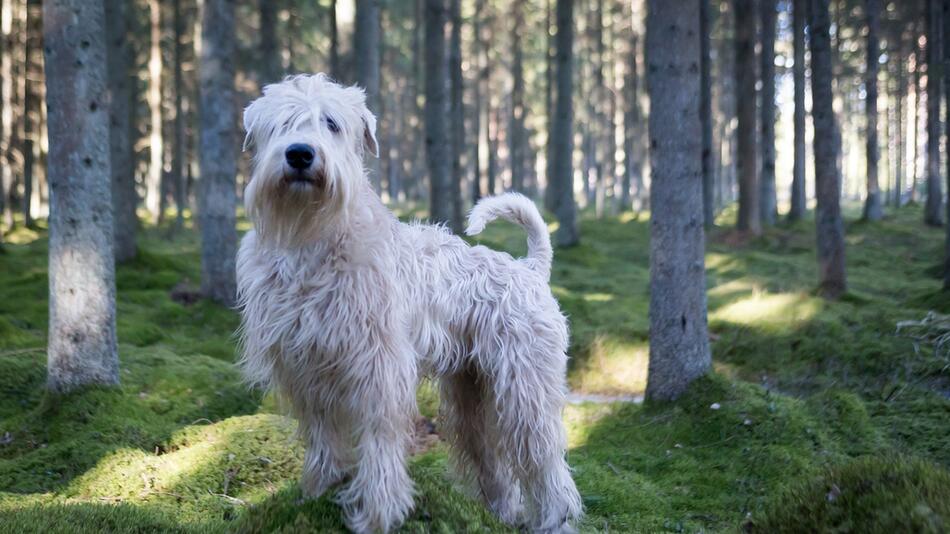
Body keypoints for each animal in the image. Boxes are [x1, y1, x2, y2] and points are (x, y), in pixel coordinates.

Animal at [236, 74, 580, 534]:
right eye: (280, 122)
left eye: (331, 122)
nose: (300, 154)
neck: (312, 238)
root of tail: (531, 268)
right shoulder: (306, 365)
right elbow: (322, 437)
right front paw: (317, 492)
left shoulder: (377, 366)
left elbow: (379, 440)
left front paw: (377, 513)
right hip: (471, 393)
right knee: (492, 460)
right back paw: (501, 513)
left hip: (525, 389)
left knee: (544, 461)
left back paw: (554, 519)